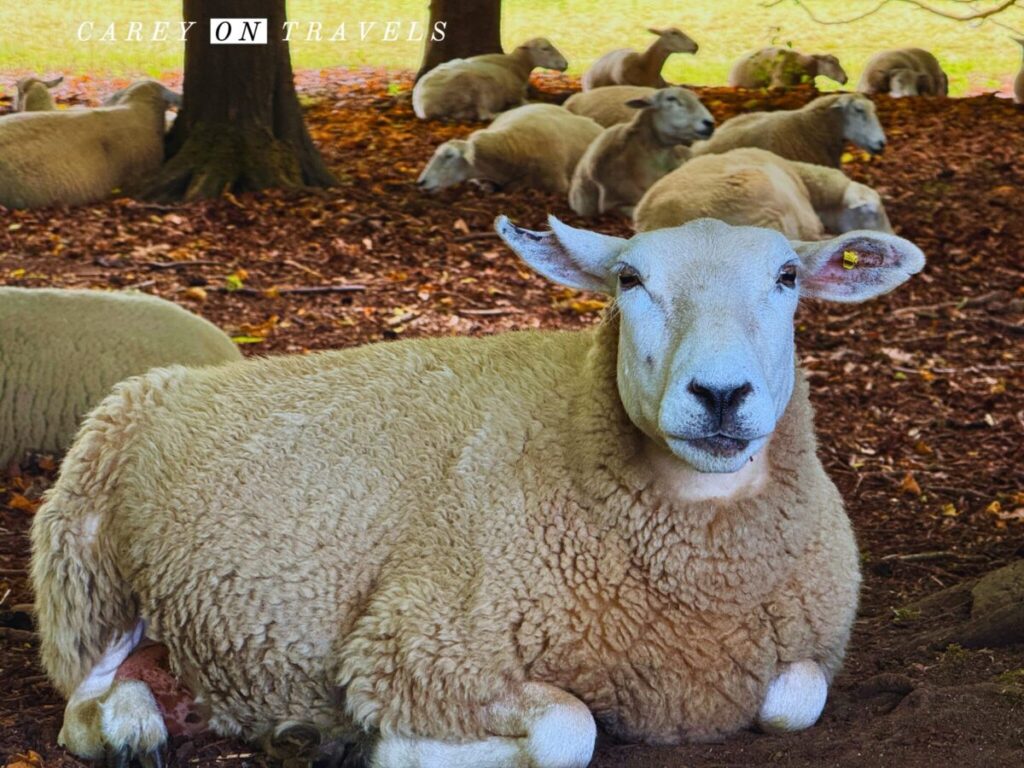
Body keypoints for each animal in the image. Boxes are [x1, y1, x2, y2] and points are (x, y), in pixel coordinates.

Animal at [32, 214, 925, 767]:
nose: (719, 394)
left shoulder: (802, 649)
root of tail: (164, 380)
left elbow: (796, 699)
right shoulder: (425, 640)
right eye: (629, 279)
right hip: (85, 580)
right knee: (79, 702)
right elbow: (569, 731)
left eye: (787, 276)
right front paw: (385, 746)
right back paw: (134, 728)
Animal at [412, 38, 568, 121]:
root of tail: (423, 107)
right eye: (544, 48)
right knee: (485, 115)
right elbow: (529, 102)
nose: (566, 64)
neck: (516, 64)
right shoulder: (515, 94)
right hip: (476, 87)